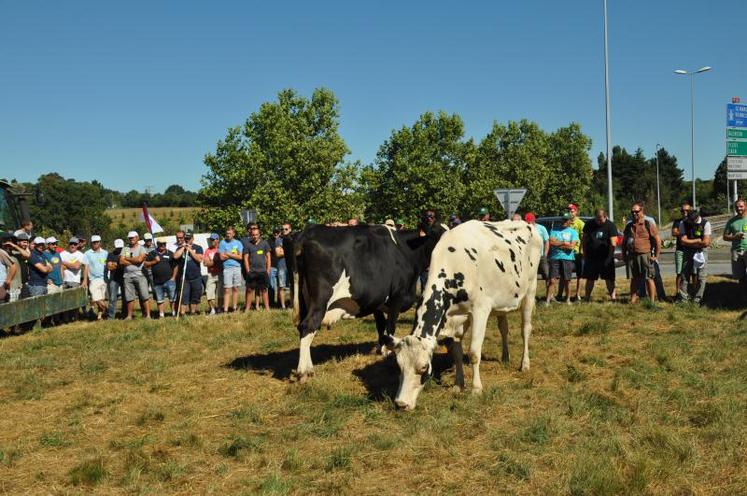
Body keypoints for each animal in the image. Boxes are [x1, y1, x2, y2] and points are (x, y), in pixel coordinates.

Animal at [290, 223, 448, 382]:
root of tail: (307, 231)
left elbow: (381, 325)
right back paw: (304, 371)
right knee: (308, 325)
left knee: (302, 327)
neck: (405, 251)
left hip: (303, 299)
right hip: (321, 299)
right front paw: (389, 351)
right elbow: (390, 326)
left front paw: (380, 349)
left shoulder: (377, 301)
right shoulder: (397, 297)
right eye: (438, 236)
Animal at [386, 221, 544, 410]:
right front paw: (458, 384)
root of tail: (526, 223)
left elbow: (474, 353)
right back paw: (505, 357)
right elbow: (456, 352)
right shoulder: (456, 319)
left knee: (525, 329)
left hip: (530, 290)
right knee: (504, 329)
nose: (401, 403)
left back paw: (524, 364)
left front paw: (476, 389)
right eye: (399, 366)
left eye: (423, 367)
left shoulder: (480, 310)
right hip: (502, 301)